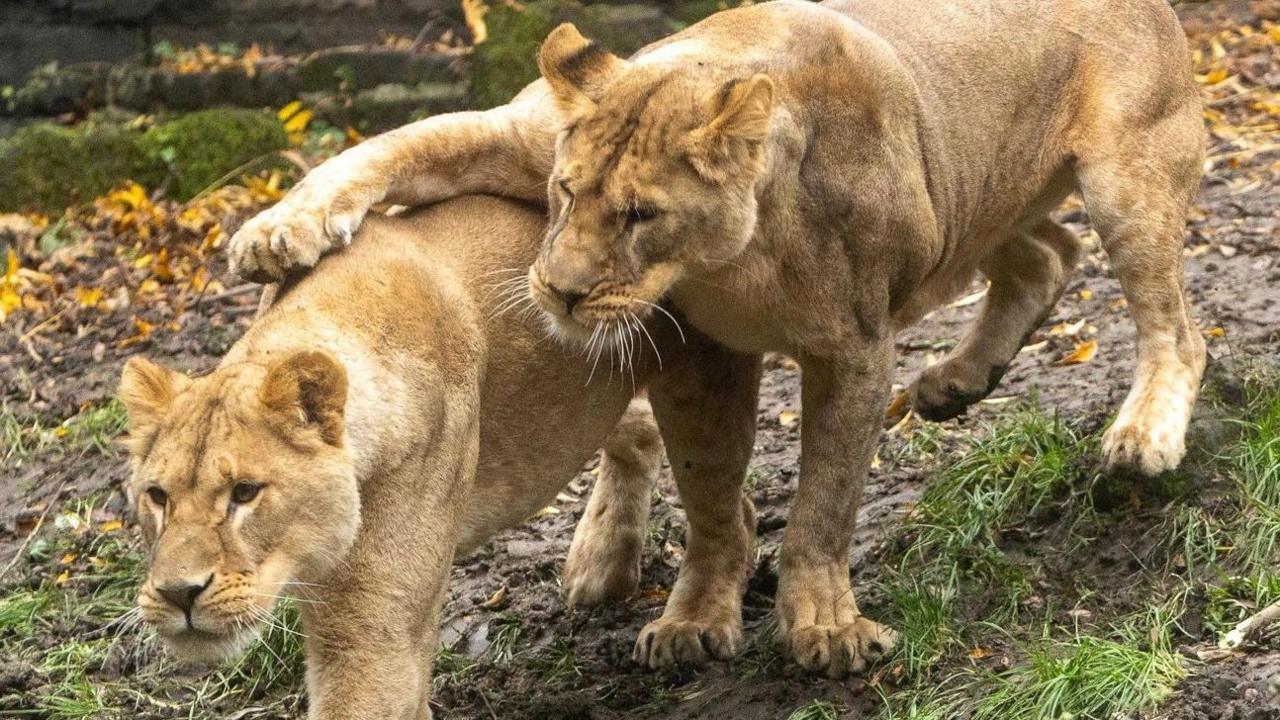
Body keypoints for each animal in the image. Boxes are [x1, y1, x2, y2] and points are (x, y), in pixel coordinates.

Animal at [120, 193, 768, 712]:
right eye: (157, 497)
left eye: (245, 493)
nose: (178, 594)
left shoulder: (372, 627)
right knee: (636, 429)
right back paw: (601, 562)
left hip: (698, 368)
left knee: (727, 502)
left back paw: (693, 618)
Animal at [225, 0, 1203, 676]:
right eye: (566, 191)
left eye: (641, 214)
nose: (559, 291)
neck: (724, 262)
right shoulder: (675, 323)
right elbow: (384, 151)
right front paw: (280, 231)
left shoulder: (851, 348)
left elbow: (823, 501)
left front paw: (823, 625)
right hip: (971, 202)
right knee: (1047, 252)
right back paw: (954, 382)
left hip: (1122, 176)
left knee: (1171, 326)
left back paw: (1141, 432)